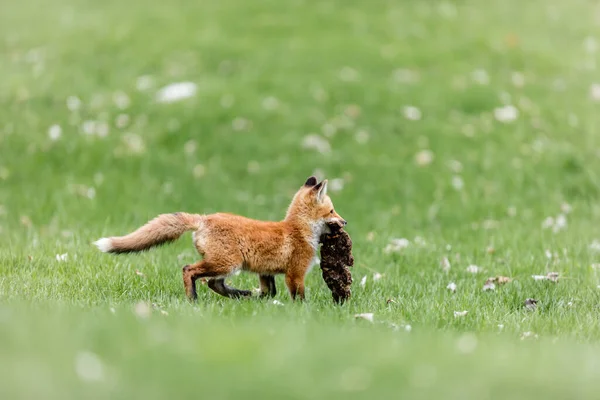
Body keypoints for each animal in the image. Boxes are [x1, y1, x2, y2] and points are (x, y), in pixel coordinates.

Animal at [94, 177, 346, 302]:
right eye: (332, 211)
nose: (345, 222)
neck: (299, 230)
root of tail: (204, 218)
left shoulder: (265, 272)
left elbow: (269, 293)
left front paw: (261, 302)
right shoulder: (295, 273)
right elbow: (299, 298)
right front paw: (303, 312)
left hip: (225, 265)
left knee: (215, 284)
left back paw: (241, 295)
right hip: (227, 263)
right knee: (190, 270)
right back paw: (193, 299)